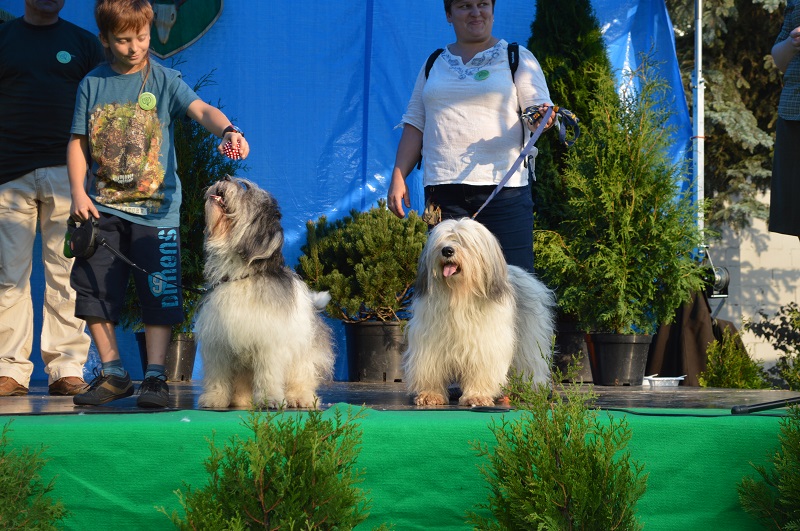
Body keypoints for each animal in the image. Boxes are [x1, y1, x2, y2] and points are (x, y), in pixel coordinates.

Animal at [195, 176, 334, 409]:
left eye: (246, 190)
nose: (225, 177)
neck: (241, 276)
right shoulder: (219, 343)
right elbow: (218, 376)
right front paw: (215, 399)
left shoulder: (268, 344)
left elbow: (267, 375)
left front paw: (269, 400)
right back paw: (241, 400)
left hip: (303, 356)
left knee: (302, 379)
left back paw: (300, 398)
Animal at [403, 218, 556, 407]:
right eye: (442, 241)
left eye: (464, 242)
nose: (447, 250)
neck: (458, 295)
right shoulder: (430, 342)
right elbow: (431, 368)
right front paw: (430, 394)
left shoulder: (485, 343)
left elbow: (482, 369)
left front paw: (477, 395)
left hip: (529, 340)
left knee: (531, 363)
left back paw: (530, 391)